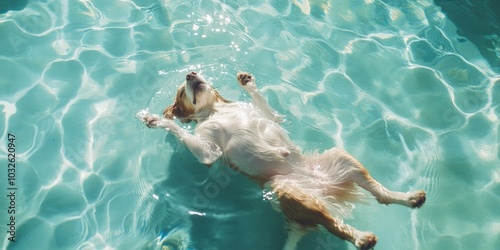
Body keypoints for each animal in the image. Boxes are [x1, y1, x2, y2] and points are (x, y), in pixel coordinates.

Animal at [137, 71, 426, 249]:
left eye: (191, 77)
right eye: (181, 92)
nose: (190, 74)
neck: (215, 110)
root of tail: (324, 190)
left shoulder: (269, 116)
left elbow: (264, 106)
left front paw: (247, 83)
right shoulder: (208, 153)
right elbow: (178, 130)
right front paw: (154, 119)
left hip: (341, 158)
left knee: (379, 194)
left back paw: (409, 198)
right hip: (288, 189)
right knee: (332, 224)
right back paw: (362, 237)